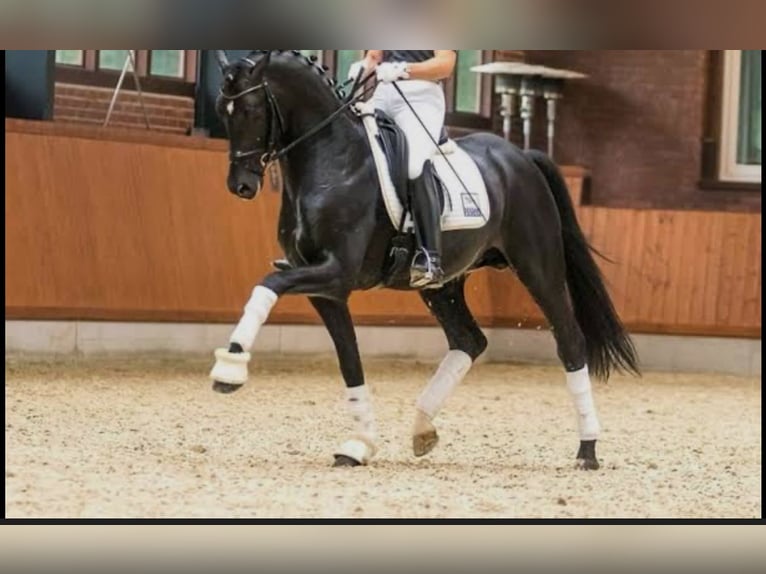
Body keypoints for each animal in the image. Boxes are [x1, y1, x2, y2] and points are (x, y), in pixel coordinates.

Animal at [208, 50, 640, 470]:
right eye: (221, 111)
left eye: (249, 109)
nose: (241, 185)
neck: (333, 161)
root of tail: (521, 156)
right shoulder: (327, 290)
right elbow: (350, 360)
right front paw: (360, 444)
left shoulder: (336, 273)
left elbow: (268, 285)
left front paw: (230, 367)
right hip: (443, 284)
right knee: (469, 340)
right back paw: (422, 428)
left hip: (538, 268)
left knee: (570, 341)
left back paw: (587, 449)